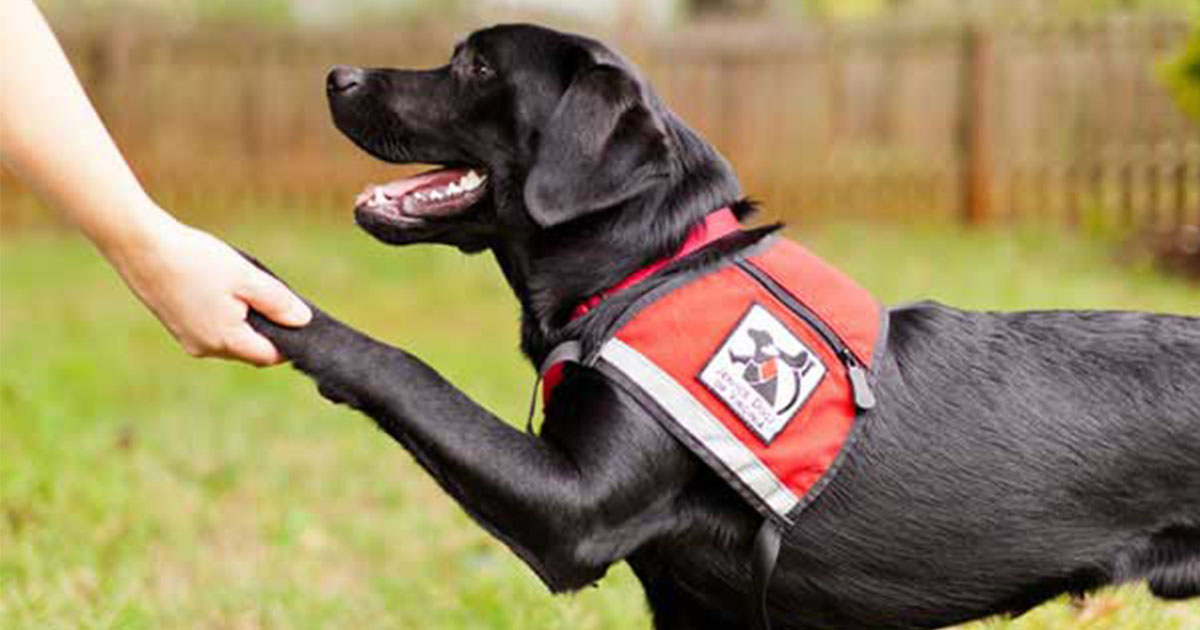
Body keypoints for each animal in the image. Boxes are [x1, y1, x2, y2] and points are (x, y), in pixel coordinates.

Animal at [248, 23, 1195, 628]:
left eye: (476, 68)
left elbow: (409, 369)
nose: (336, 76)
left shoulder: (574, 509)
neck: (648, 265)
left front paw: (268, 296)